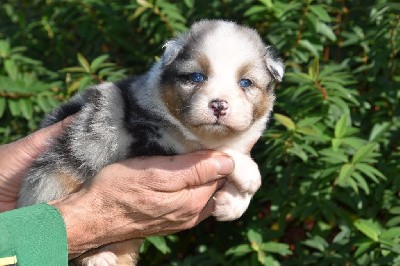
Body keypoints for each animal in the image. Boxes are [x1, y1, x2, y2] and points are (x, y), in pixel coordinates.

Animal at [16, 19, 284, 264]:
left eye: (245, 83)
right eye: (196, 77)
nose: (219, 105)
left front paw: (232, 203)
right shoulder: (150, 136)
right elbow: (209, 149)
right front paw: (249, 173)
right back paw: (98, 257)